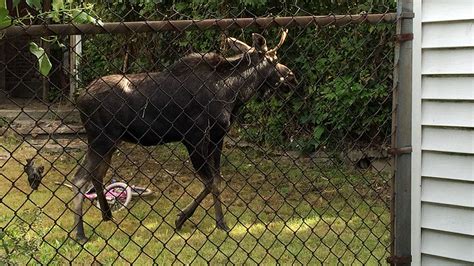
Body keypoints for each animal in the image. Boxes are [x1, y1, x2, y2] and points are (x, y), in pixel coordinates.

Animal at [73, 29, 296, 241]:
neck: (234, 94)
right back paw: (80, 233)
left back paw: (106, 215)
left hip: (110, 142)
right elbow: (210, 182)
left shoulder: (217, 138)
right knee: (79, 179)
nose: (292, 77)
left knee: (96, 175)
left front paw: (214, 221)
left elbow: (216, 181)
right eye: (274, 59)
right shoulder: (194, 137)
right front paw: (186, 218)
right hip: (101, 140)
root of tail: (80, 98)